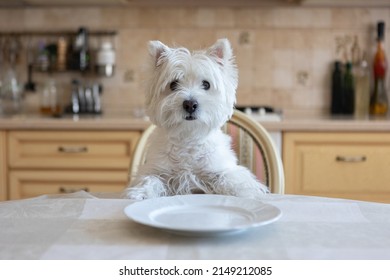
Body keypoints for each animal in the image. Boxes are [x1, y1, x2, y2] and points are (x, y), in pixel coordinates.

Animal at [124, 38, 268, 199]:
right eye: (173, 84)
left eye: (206, 84)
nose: (190, 104)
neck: (188, 137)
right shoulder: (157, 170)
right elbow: (149, 179)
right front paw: (140, 193)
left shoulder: (220, 167)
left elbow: (231, 177)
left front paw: (245, 191)